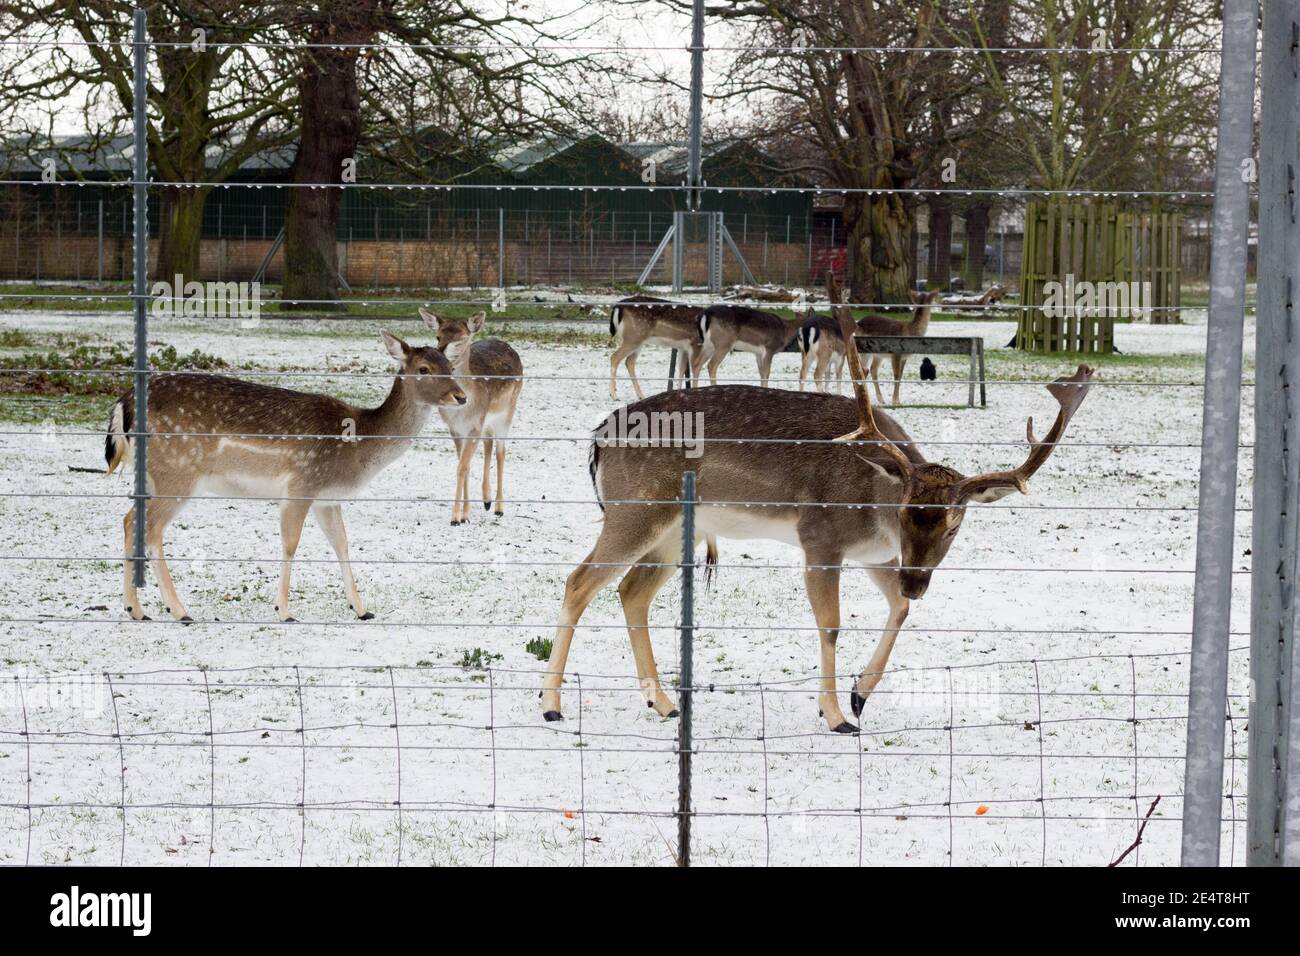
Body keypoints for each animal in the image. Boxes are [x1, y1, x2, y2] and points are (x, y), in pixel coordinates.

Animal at [105, 332, 467, 624]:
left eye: (450, 365)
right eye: (423, 369)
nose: (461, 396)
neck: (357, 449)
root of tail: (123, 404)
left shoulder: (327, 498)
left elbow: (342, 543)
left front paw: (362, 609)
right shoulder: (302, 484)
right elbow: (291, 544)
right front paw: (284, 611)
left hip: (154, 476)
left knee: (129, 520)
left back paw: (136, 609)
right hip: (177, 473)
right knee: (151, 529)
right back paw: (178, 610)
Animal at [426, 308, 527, 522]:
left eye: (462, 339)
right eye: (438, 336)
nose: (442, 355)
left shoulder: (474, 425)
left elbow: (462, 467)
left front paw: (455, 518)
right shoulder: (455, 428)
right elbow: (464, 465)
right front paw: (465, 514)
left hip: (508, 410)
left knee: (501, 451)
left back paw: (498, 507)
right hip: (487, 419)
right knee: (488, 444)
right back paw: (486, 499)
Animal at [540, 274, 1097, 733]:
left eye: (956, 523)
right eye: (905, 510)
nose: (918, 582)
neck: (875, 501)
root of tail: (597, 439)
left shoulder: (877, 555)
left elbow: (897, 609)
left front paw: (859, 695)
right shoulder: (821, 537)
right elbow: (830, 624)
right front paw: (835, 716)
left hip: (676, 530)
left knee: (631, 592)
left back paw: (663, 702)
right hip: (634, 510)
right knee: (579, 581)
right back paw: (551, 704)